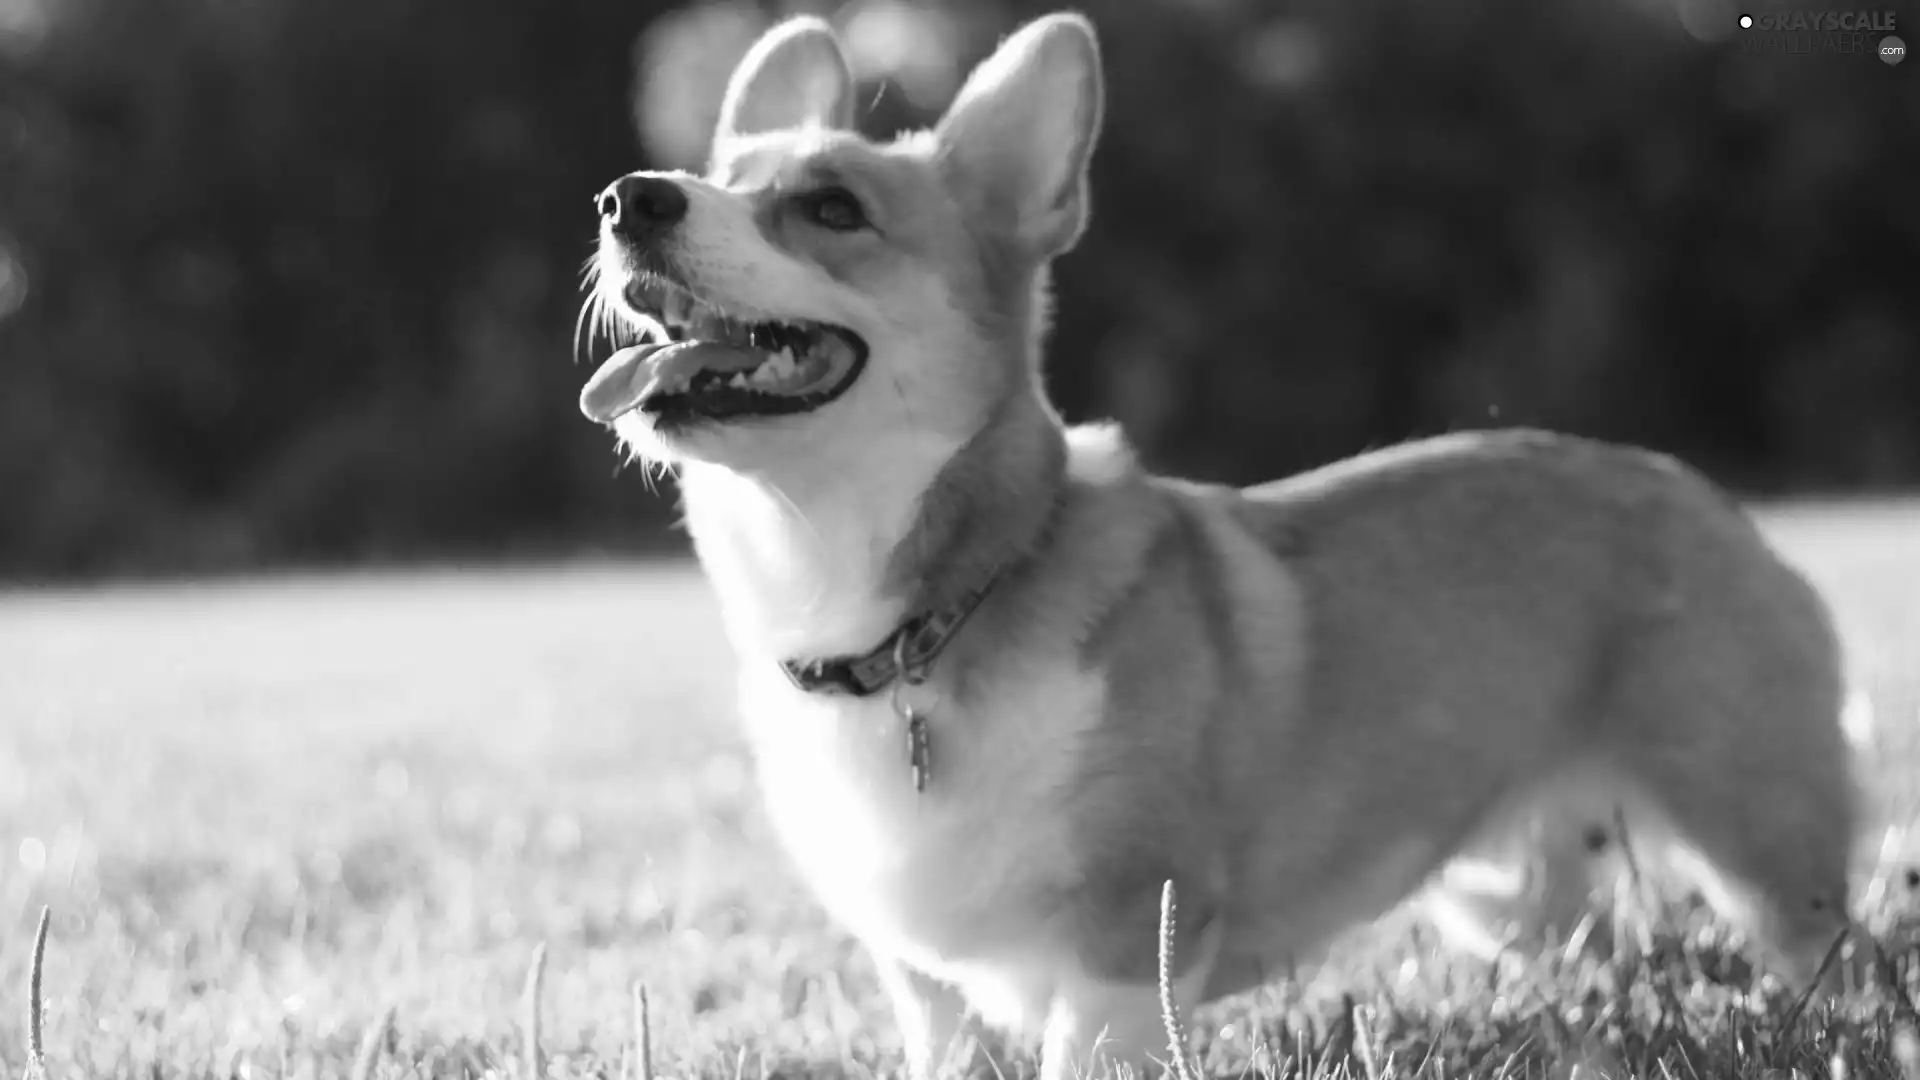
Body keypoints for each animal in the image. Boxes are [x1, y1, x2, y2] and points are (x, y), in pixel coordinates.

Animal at [572, 14, 1858, 1076]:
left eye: (833, 207)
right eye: (712, 181)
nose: (631, 197)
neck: (907, 628)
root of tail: (1713, 499)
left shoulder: (1124, 939)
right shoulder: (926, 982)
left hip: (1762, 841)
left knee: (1826, 958)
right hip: (1510, 894)